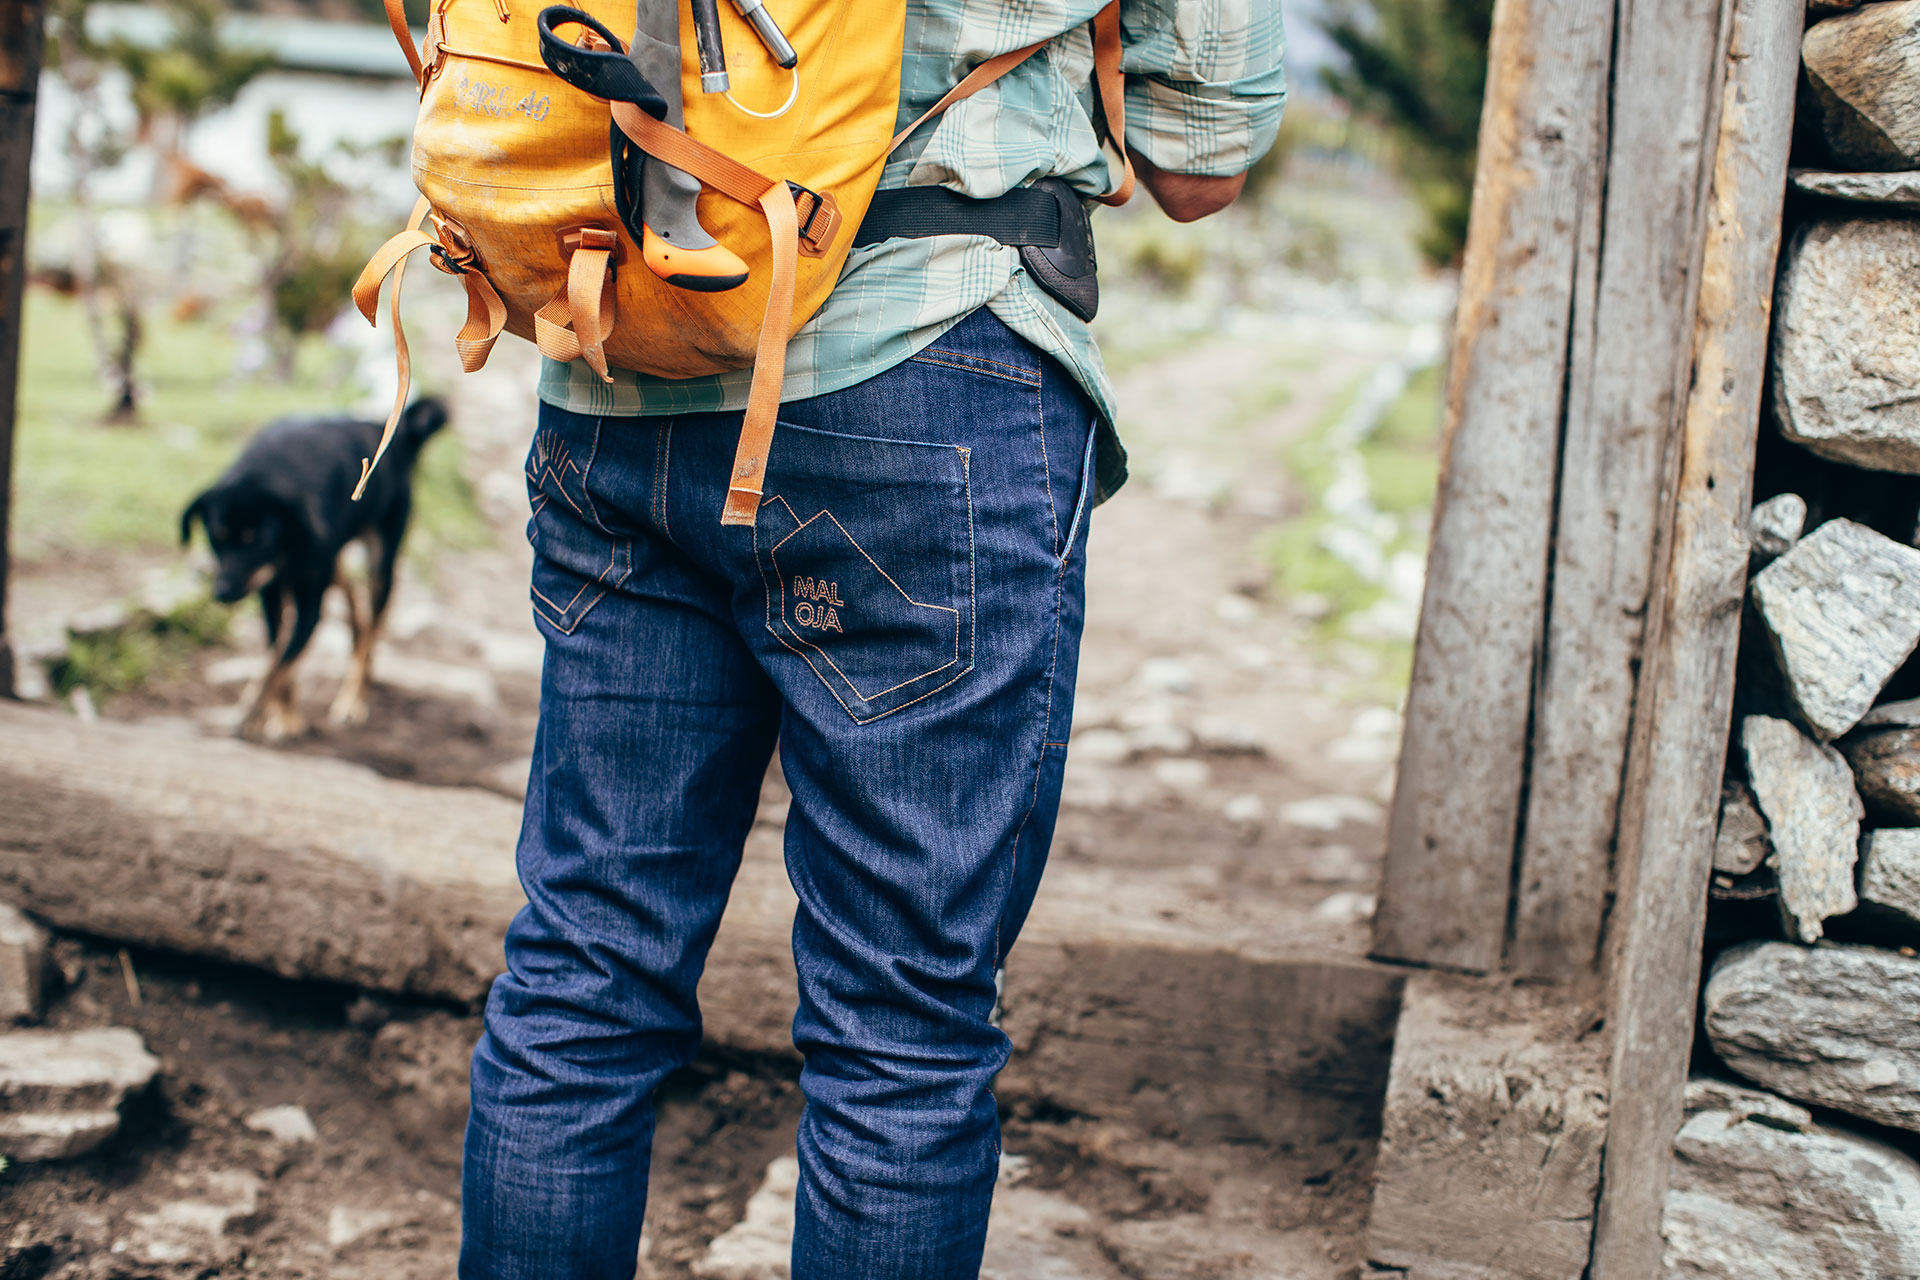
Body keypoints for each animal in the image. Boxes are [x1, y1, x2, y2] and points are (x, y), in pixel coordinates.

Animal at [181, 401, 447, 740]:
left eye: (258, 540)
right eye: (216, 537)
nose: (223, 593)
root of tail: (389, 431)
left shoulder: (309, 605)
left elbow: (280, 663)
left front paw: (249, 714)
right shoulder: (272, 594)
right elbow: (277, 657)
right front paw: (284, 717)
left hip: (380, 563)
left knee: (373, 628)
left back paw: (352, 699)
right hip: (331, 562)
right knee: (356, 607)